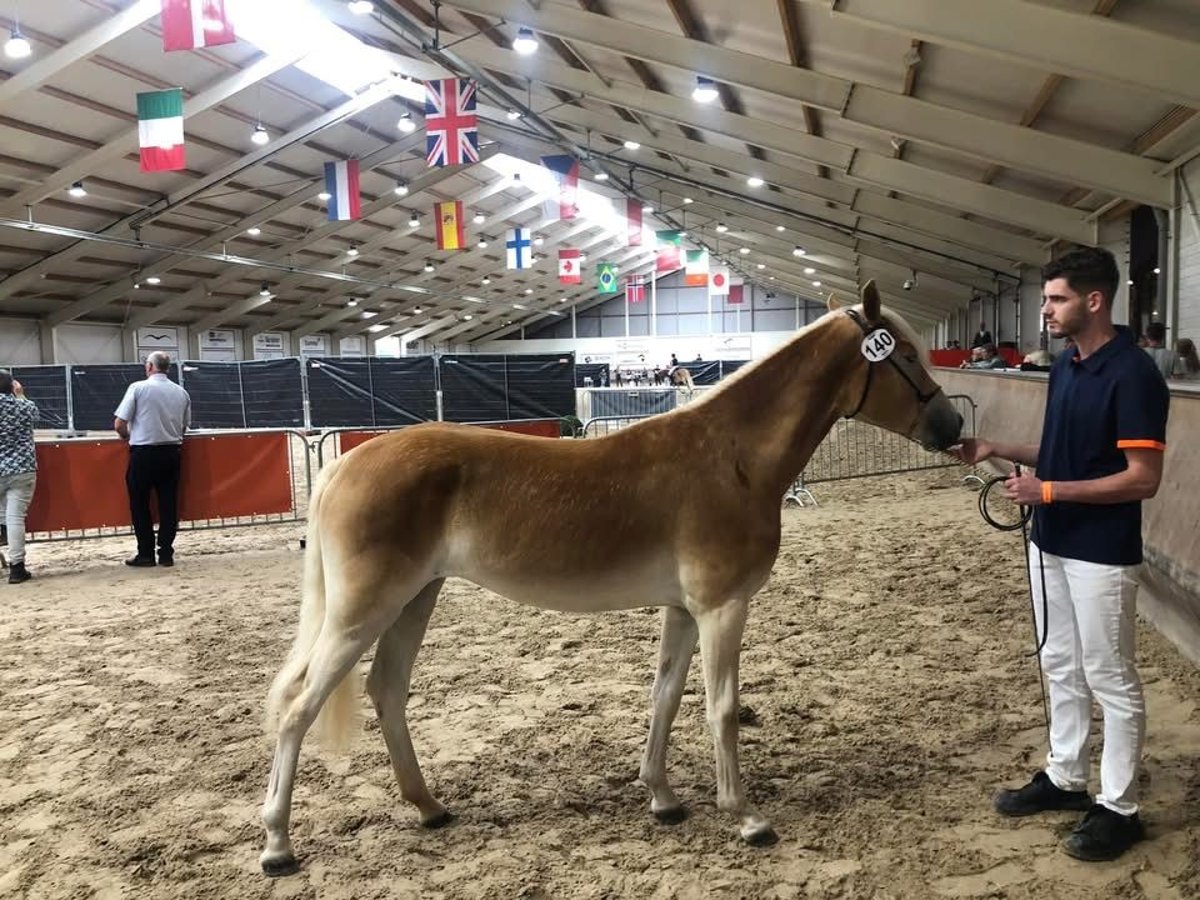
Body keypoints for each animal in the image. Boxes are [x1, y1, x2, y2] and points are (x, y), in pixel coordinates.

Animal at [258, 280, 960, 873]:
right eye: (906, 357)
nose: (951, 425)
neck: (730, 457)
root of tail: (345, 465)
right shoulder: (722, 607)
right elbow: (722, 707)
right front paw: (746, 816)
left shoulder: (683, 610)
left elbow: (665, 697)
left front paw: (663, 798)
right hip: (364, 609)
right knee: (297, 706)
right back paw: (277, 845)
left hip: (413, 600)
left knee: (387, 690)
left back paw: (429, 808)